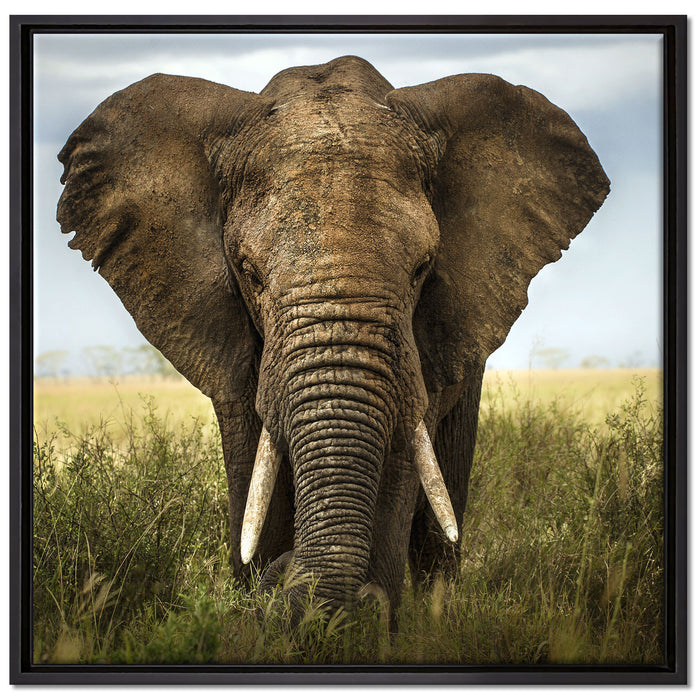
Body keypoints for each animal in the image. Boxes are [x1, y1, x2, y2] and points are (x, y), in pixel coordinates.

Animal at [56, 55, 609, 624]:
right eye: (249, 273)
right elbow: (253, 466)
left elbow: (401, 459)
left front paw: (363, 619)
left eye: (422, 268)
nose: (286, 575)